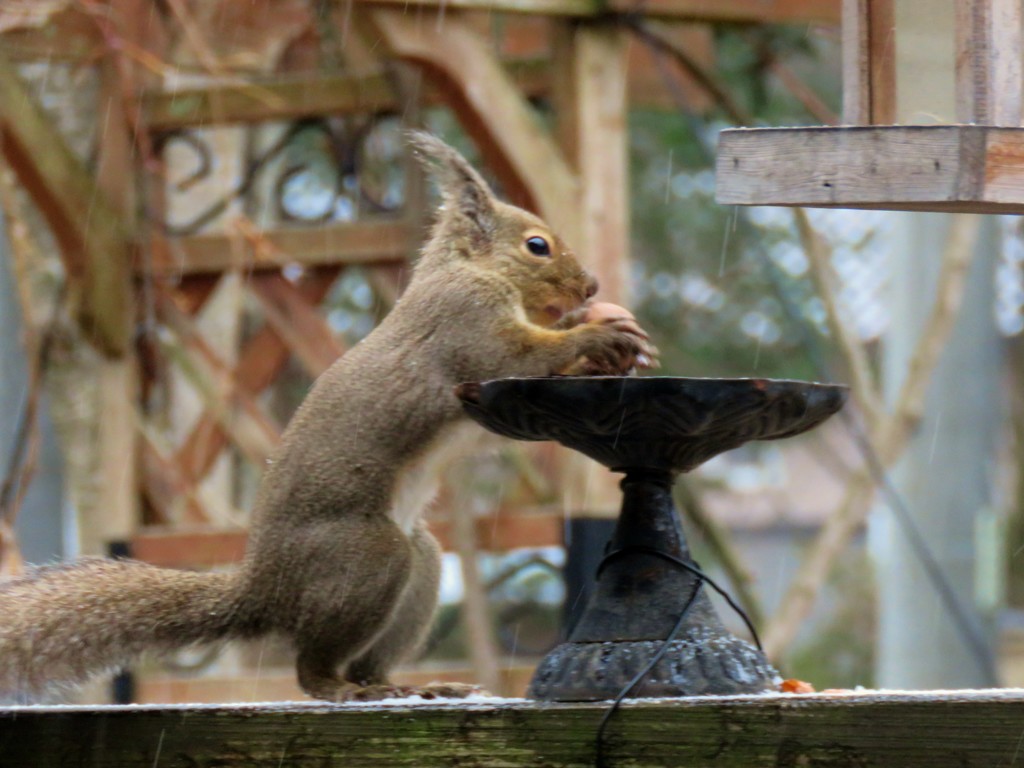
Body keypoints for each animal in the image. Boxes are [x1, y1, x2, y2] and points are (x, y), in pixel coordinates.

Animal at [0, 132, 655, 704]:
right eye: (537, 245)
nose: (591, 285)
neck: (470, 271)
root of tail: (264, 593)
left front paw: (612, 338)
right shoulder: (468, 327)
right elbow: (516, 359)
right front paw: (596, 334)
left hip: (419, 563)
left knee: (369, 661)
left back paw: (416, 686)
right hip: (366, 557)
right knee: (312, 665)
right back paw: (340, 688)